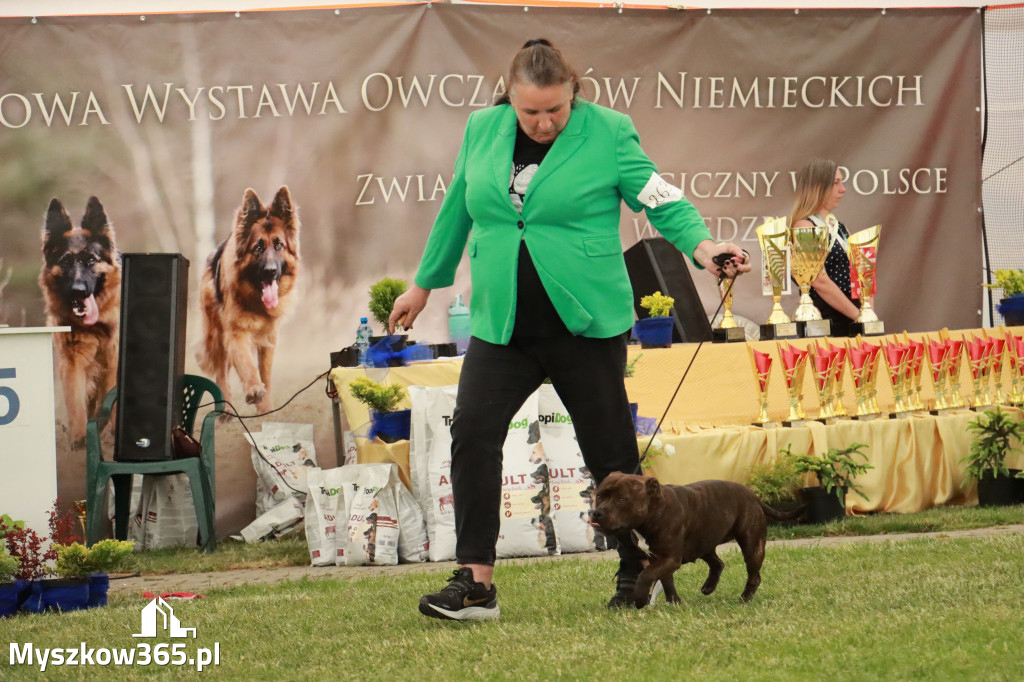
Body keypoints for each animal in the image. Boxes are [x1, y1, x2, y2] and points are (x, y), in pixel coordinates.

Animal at [593, 471, 798, 606]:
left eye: (621, 499)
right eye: (599, 496)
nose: (596, 513)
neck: (656, 509)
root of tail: (754, 496)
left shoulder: (669, 559)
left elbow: (645, 575)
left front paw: (641, 599)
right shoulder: (659, 559)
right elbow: (666, 580)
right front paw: (674, 602)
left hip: (752, 545)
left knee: (754, 575)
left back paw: (745, 598)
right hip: (703, 543)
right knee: (718, 563)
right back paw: (708, 587)